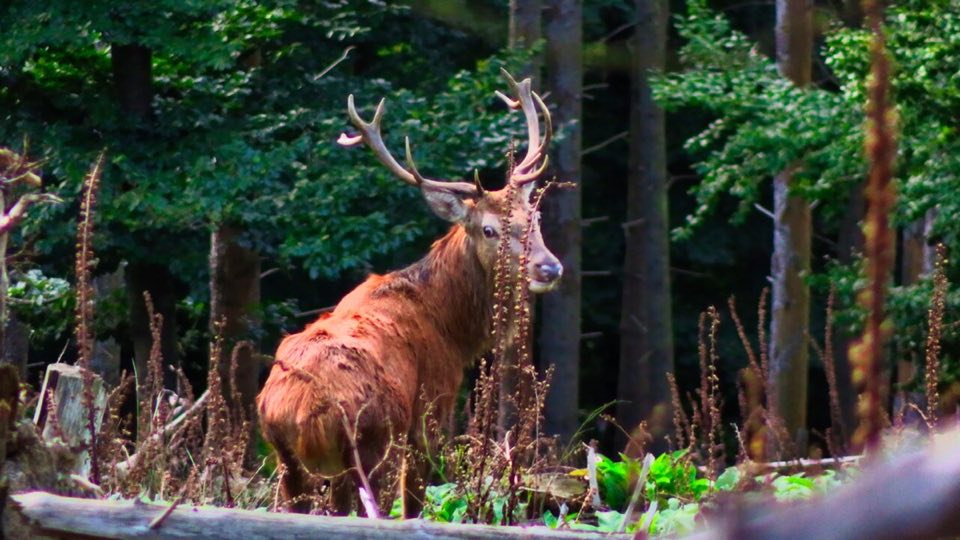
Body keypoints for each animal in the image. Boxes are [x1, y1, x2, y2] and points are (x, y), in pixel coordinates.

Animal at [256, 70, 562, 517]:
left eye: (535, 217)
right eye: (489, 229)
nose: (549, 267)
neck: (451, 328)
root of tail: (295, 411)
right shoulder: (432, 408)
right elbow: (415, 502)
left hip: (286, 461)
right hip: (368, 444)